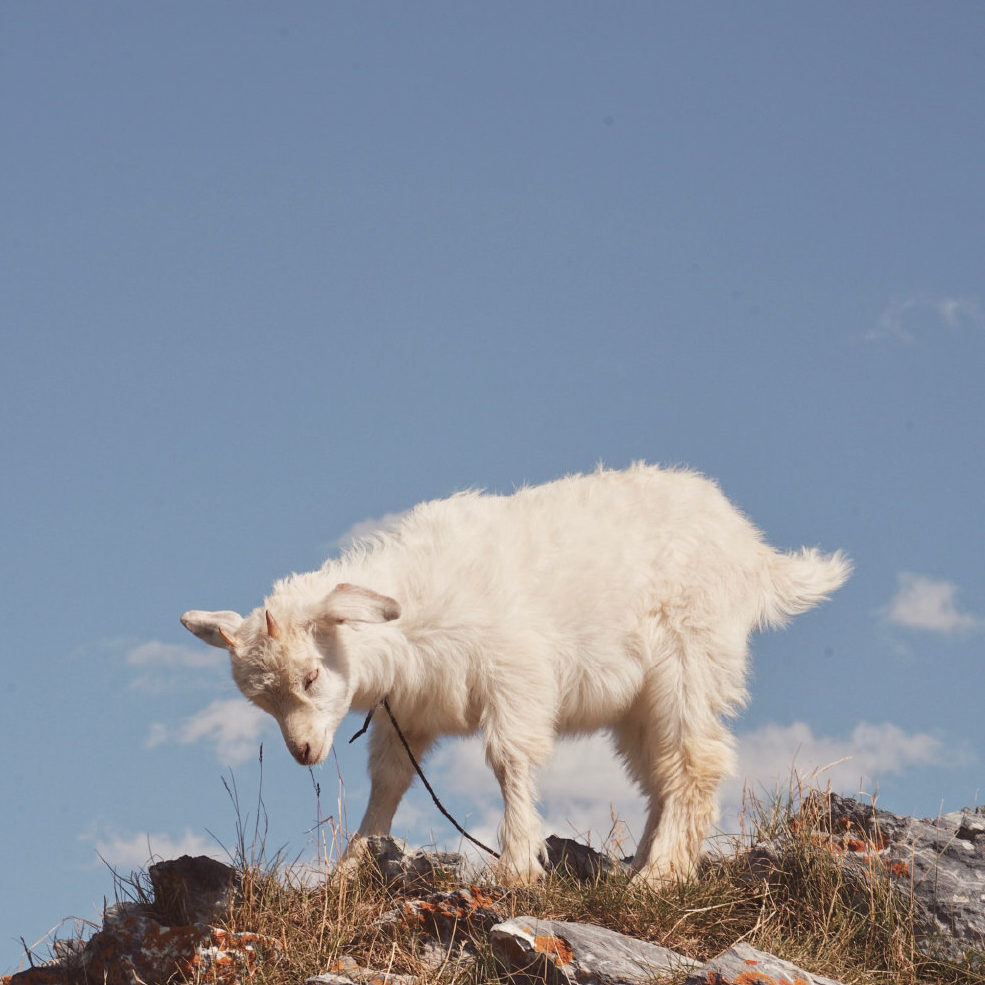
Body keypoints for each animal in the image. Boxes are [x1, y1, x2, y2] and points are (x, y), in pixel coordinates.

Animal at [181, 463, 850, 885]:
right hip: (638, 701)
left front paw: (519, 864)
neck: (416, 604)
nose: (304, 752)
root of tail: (751, 552)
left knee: (696, 762)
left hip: (691, 661)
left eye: (311, 677)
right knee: (661, 772)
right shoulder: (411, 712)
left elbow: (511, 760)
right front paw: (350, 866)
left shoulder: (516, 676)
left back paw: (659, 877)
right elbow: (390, 781)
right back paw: (641, 864)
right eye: (262, 702)